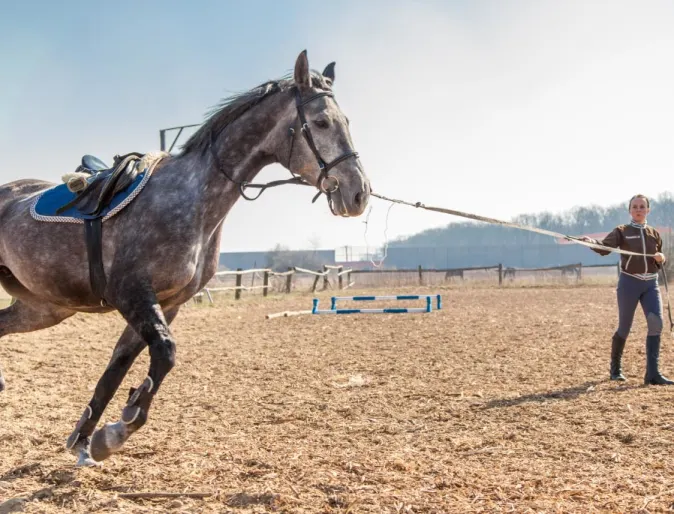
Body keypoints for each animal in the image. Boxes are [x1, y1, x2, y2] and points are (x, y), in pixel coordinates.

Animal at [0, 51, 368, 464]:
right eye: (321, 122)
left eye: (346, 122)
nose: (359, 193)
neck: (193, 198)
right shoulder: (132, 294)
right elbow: (164, 353)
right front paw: (118, 428)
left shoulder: (167, 303)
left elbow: (121, 365)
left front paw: (91, 438)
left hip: (44, 308)